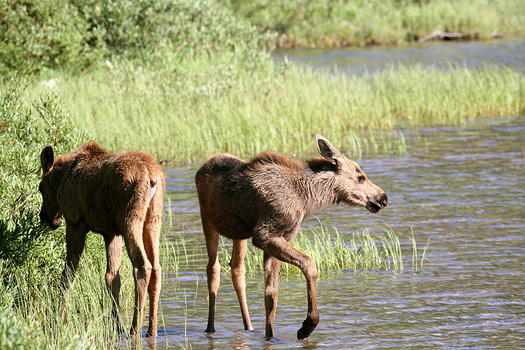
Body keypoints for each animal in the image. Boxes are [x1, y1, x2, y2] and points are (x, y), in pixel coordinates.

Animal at [38, 141, 164, 338]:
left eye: (40, 188)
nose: (45, 218)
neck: (63, 178)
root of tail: (152, 176)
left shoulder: (75, 222)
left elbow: (68, 275)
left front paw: (57, 319)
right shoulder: (111, 233)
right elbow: (112, 277)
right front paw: (116, 326)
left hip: (130, 218)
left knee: (142, 265)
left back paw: (134, 329)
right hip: (153, 219)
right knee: (157, 268)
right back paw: (152, 330)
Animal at [194, 134, 386, 340]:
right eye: (360, 178)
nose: (383, 198)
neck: (307, 199)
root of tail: (202, 166)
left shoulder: (281, 236)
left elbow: (271, 294)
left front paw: (270, 336)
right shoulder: (264, 234)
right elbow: (309, 264)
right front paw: (307, 325)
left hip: (239, 233)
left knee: (237, 269)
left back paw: (249, 326)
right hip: (208, 220)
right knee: (213, 269)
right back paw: (210, 327)